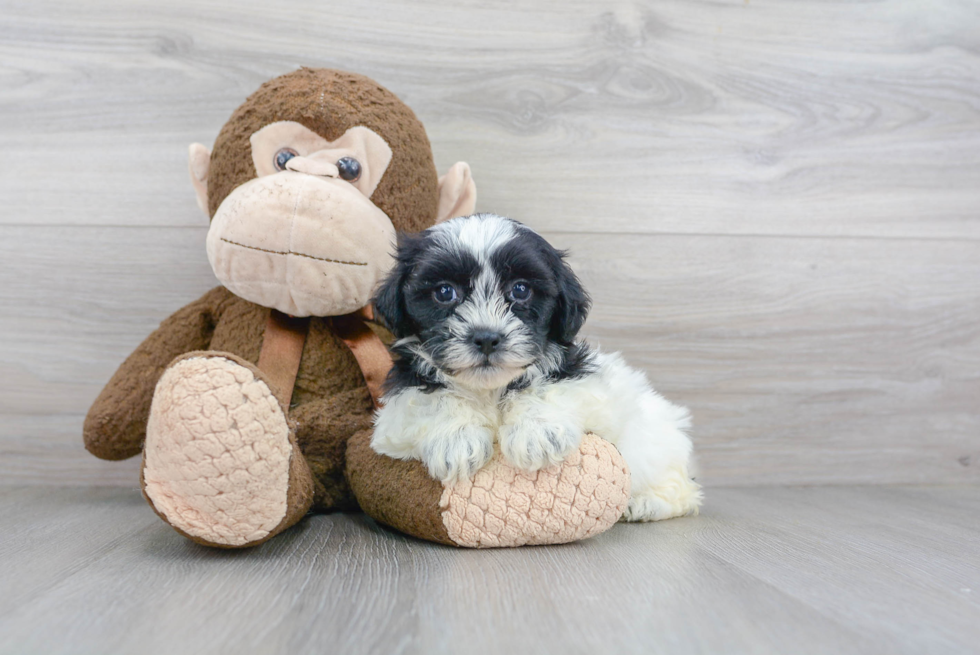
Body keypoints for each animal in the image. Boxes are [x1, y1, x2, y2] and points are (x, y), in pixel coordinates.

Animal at [372, 215, 700, 524]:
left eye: (520, 289)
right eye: (444, 292)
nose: (487, 337)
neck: (490, 389)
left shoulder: (590, 386)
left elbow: (545, 388)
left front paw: (537, 433)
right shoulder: (395, 415)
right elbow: (431, 399)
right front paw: (455, 438)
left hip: (655, 440)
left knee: (683, 489)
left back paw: (645, 503)